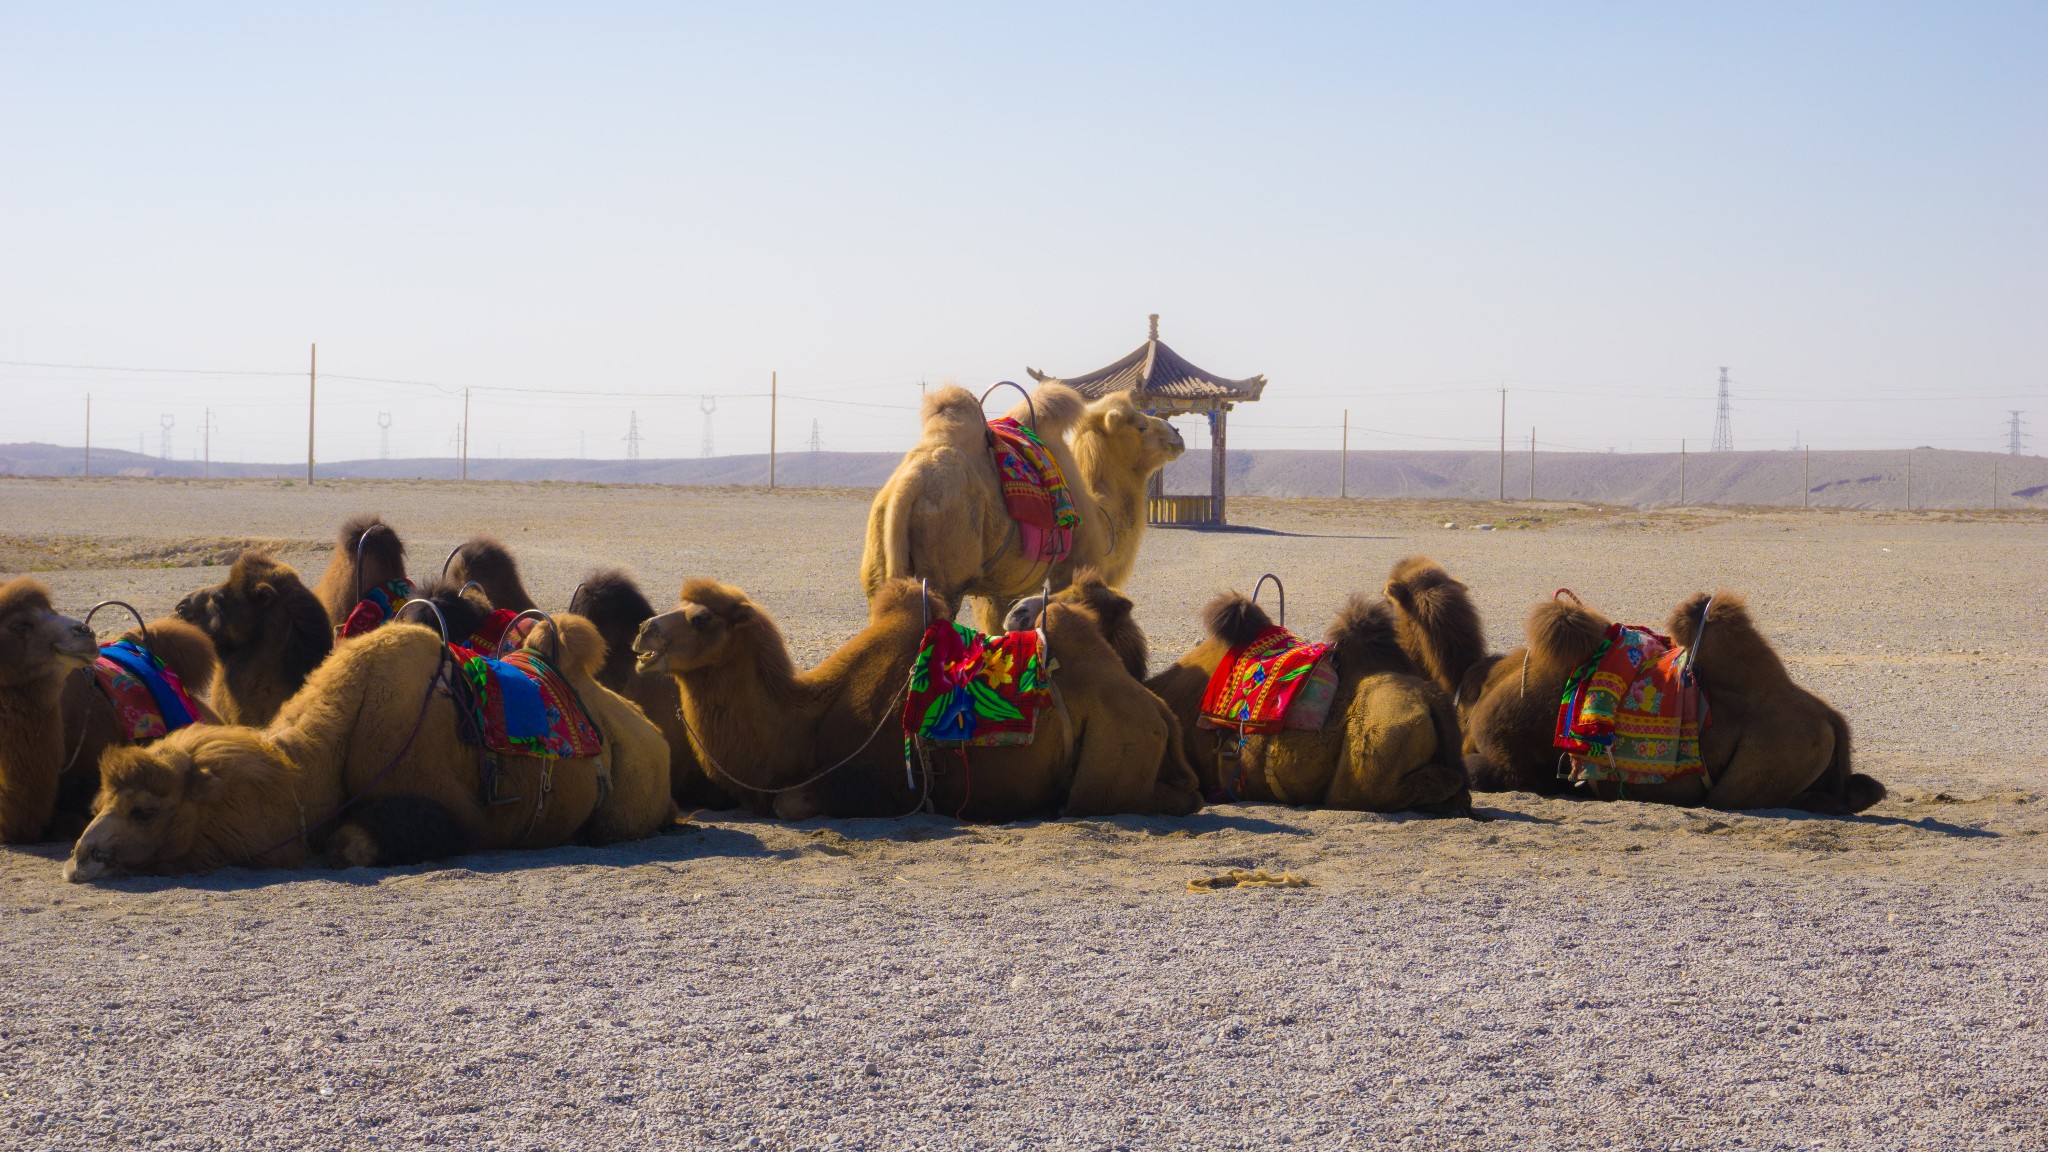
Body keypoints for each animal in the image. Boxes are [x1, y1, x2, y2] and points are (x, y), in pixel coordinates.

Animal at [626, 578, 1196, 819]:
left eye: (701, 618)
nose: (643, 632)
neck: (802, 723)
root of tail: (1159, 711)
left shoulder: (880, 784)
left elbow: (791, 804)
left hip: (1109, 758)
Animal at [860, 381, 1187, 631]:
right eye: (1141, 426)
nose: (1177, 434)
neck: (1101, 515)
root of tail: (907, 486)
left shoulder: (996, 591)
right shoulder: (1071, 569)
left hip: (880, 568)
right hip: (947, 574)